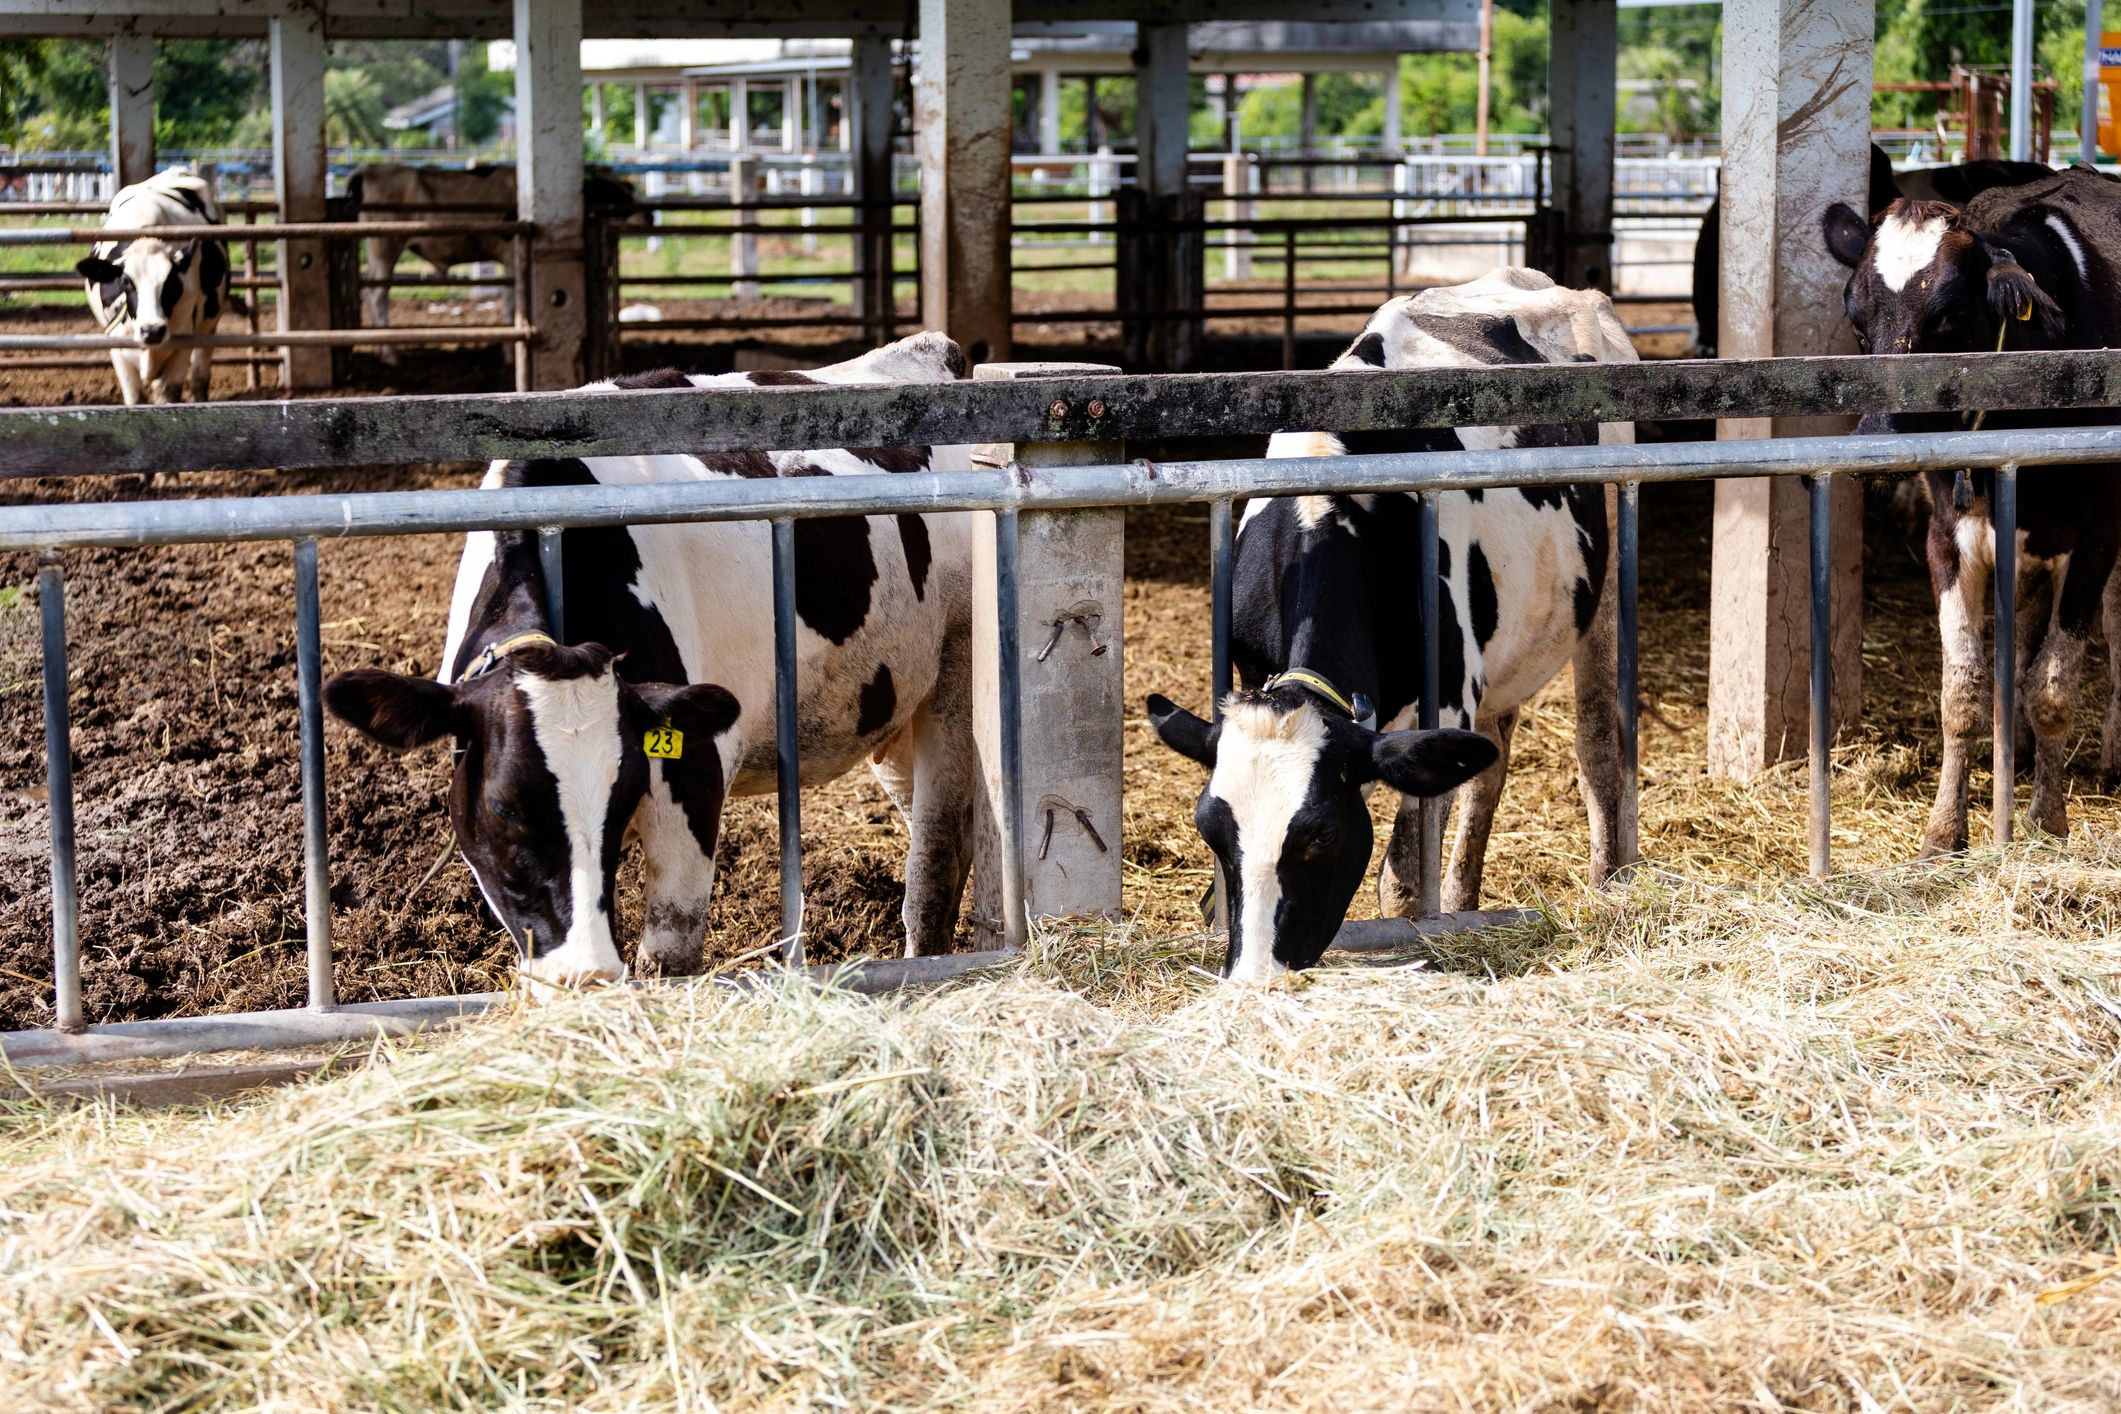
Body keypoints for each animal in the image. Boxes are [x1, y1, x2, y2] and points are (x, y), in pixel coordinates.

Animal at [73, 167, 231, 405]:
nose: (152, 330)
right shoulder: (117, 348)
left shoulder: (182, 344)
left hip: (209, 327)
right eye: (126, 281)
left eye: (172, 281)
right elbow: (136, 397)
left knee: (200, 375)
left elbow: (167, 395)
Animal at [321, 331, 983, 990]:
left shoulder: (694, 770)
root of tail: (931, 349)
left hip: (956, 681)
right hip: (892, 710)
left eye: (620, 800)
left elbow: (668, 955)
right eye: (505, 805)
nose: (586, 972)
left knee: (937, 857)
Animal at [347, 164, 643, 357]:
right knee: (377, 294)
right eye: (611, 191)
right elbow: (512, 304)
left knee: (370, 290)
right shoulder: (512, 258)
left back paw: (379, 348)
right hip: (386, 245)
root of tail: (369, 170)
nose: (645, 214)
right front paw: (511, 354)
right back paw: (390, 353)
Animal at [1146, 269, 1639, 983]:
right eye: (1208, 827)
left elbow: (1403, 881)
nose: (1257, 976)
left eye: (1320, 834)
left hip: (1606, 582)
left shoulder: (1449, 696)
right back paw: (1462, 898)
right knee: (1487, 767)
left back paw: (1609, 884)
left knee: (1599, 742)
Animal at [1824, 164, 2121, 855]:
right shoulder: (1948, 537)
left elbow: (2054, 687)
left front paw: (2048, 820)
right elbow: (1963, 689)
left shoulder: (2097, 536)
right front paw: (1944, 829)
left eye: (1951, 315)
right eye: (1857, 321)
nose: (1875, 438)